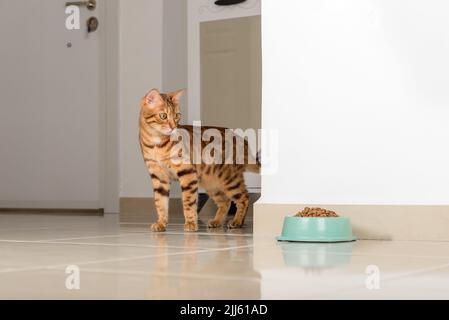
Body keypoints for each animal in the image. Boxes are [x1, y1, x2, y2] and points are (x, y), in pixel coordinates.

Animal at [139, 89, 260, 231]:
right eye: (163, 116)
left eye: (177, 116)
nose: (174, 127)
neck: (156, 144)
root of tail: (243, 140)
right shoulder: (158, 177)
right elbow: (160, 203)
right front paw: (161, 223)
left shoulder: (188, 173)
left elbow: (188, 201)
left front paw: (191, 223)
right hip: (212, 183)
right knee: (225, 201)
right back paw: (217, 221)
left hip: (230, 180)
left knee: (244, 197)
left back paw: (237, 221)